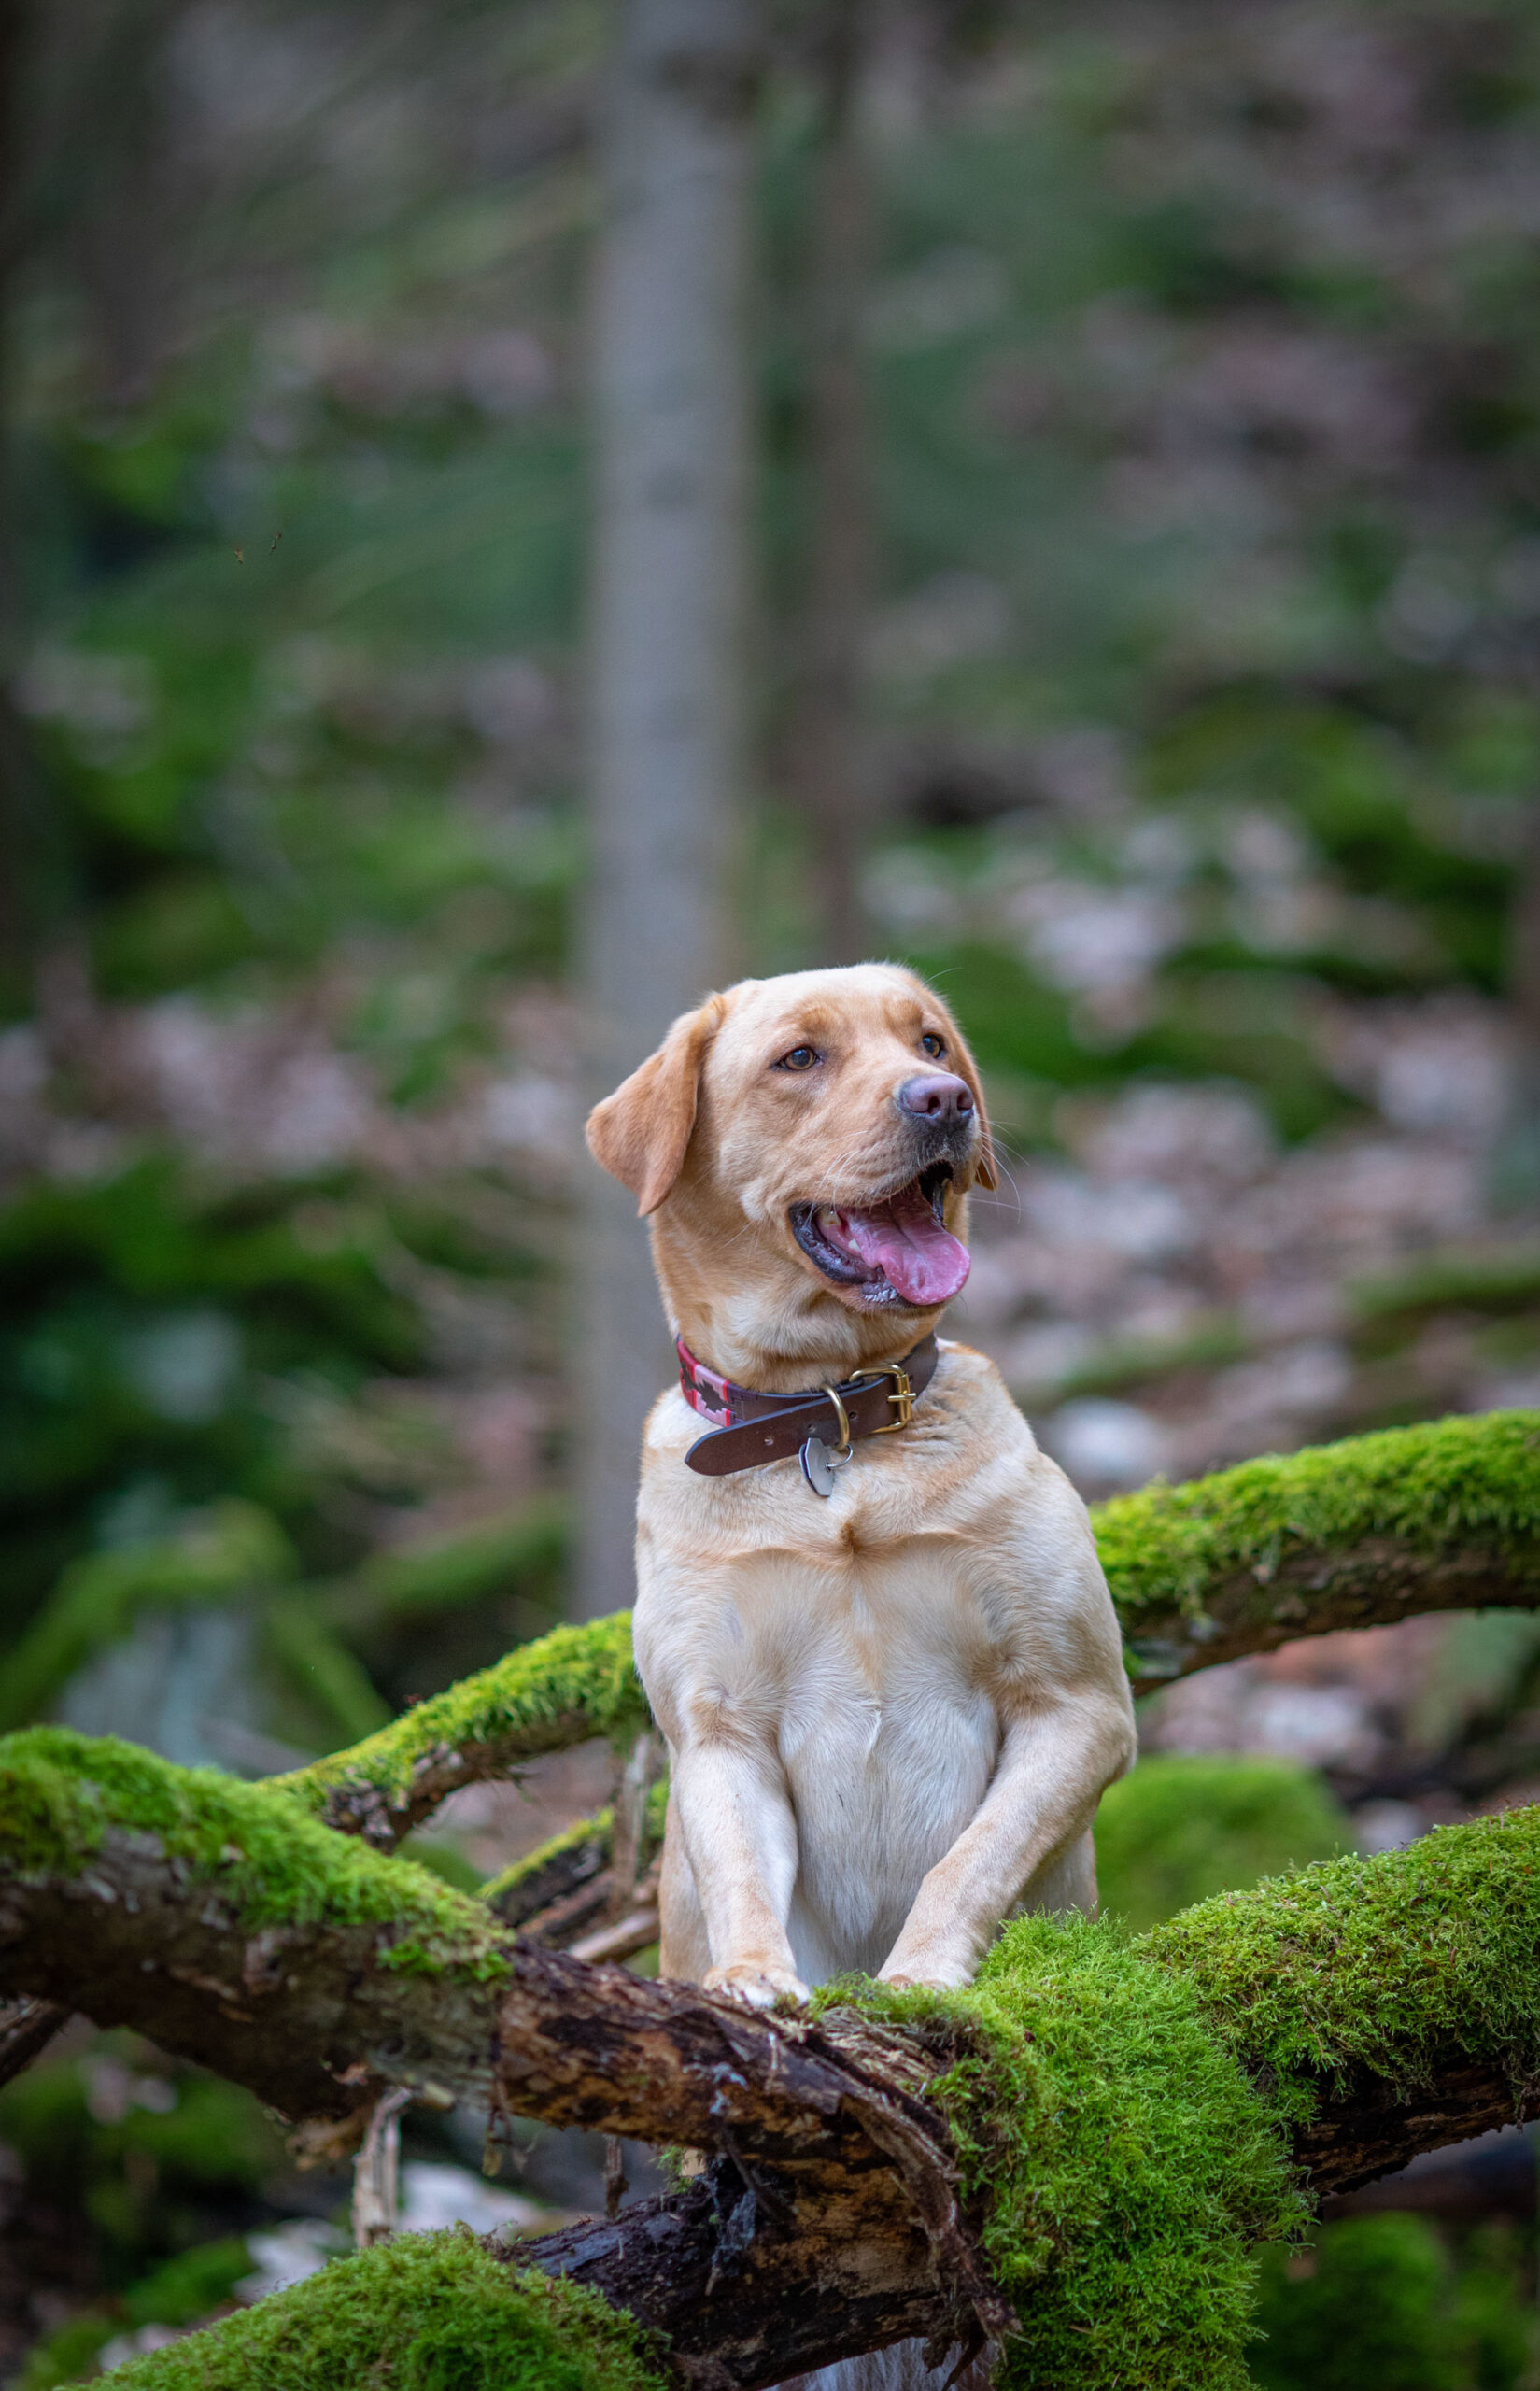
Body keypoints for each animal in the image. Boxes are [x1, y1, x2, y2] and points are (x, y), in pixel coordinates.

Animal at [586, 961, 1128, 2008]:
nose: (945, 1100)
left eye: (930, 1043)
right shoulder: (719, 1731)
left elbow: (967, 1862)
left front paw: (919, 1974)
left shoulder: (1075, 1703)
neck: (828, 1420)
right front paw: (753, 1976)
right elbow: (740, 1874)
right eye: (799, 1057)